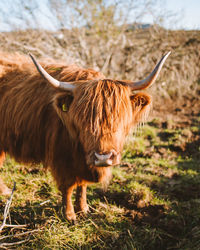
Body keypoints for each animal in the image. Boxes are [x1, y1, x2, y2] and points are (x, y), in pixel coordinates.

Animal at [0, 51, 170, 222]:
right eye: (84, 120)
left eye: (119, 118)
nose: (103, 157)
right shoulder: (62, 158)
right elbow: (68, 186)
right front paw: (69, 215)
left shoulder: (85, 161)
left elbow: (82, 185)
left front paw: (83, 209)